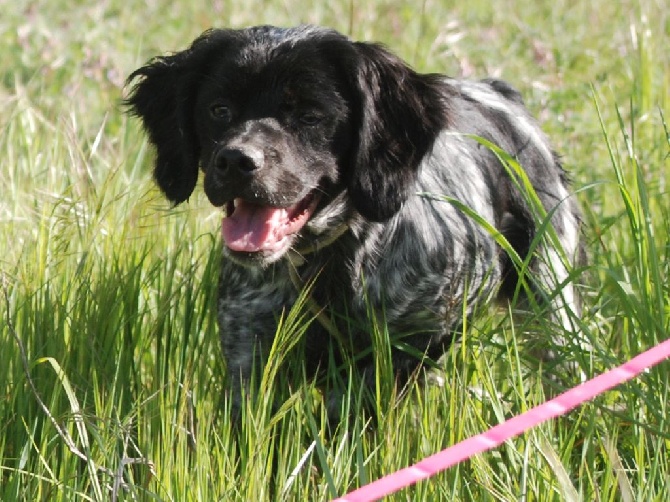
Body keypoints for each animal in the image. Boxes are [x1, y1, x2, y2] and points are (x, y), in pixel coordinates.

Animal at [127, 23, 584, 418]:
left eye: (310, 116)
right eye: (219, 109)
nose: (236, 161)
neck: (325, 266)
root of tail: (499, 93)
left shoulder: (406, 342)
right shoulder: (250, 347)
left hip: (551, 302)